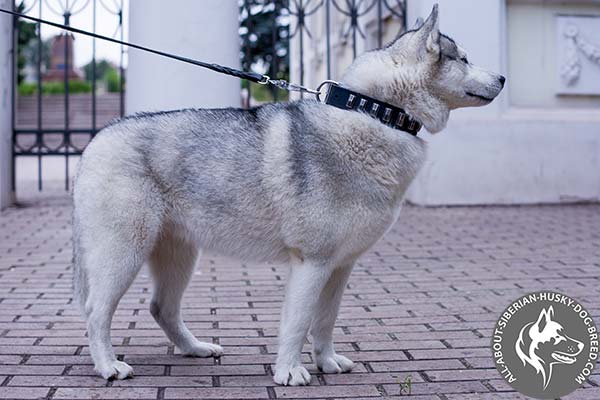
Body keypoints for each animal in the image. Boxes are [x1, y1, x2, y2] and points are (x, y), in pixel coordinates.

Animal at [70, 4, 504, 386]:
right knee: (95, 312)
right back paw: (108, 366)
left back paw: (195, 348)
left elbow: (325, 321)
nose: (502, 78)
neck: (375, 112)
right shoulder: (311, 263)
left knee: (161, 308)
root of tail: (97, 139)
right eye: (464, 59)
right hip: (124, 254)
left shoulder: (340, 267)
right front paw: (290, 372)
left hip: (179, 256)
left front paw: (326, 362)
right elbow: (298, 323)